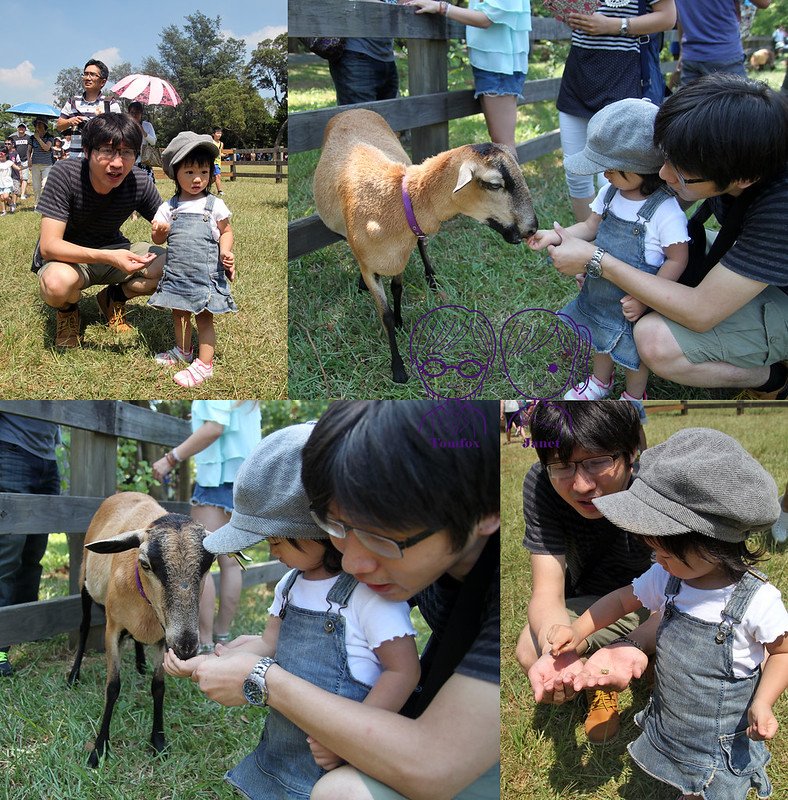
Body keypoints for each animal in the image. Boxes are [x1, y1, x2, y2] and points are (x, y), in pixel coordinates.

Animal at [67, 494, 212, 768]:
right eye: (144, 563)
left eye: (209, 564)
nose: (186, 647)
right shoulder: (112, 629)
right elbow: (112, 687)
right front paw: (99, 749)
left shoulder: (164, 637)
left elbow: (158, 687)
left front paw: (158, 741)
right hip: (84, 582)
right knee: (83, 626)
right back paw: (73, 675)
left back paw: (140, 663)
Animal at [310, 108, 540, 382]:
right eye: (494, 184)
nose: (532, 228)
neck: (397, 201)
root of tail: (353, 109)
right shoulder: (374, 265)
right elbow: (385, 315)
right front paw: (398, 368)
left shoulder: (400, 256)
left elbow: (397, 289)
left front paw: (401, 322)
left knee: (422, 245)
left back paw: (432, 278)